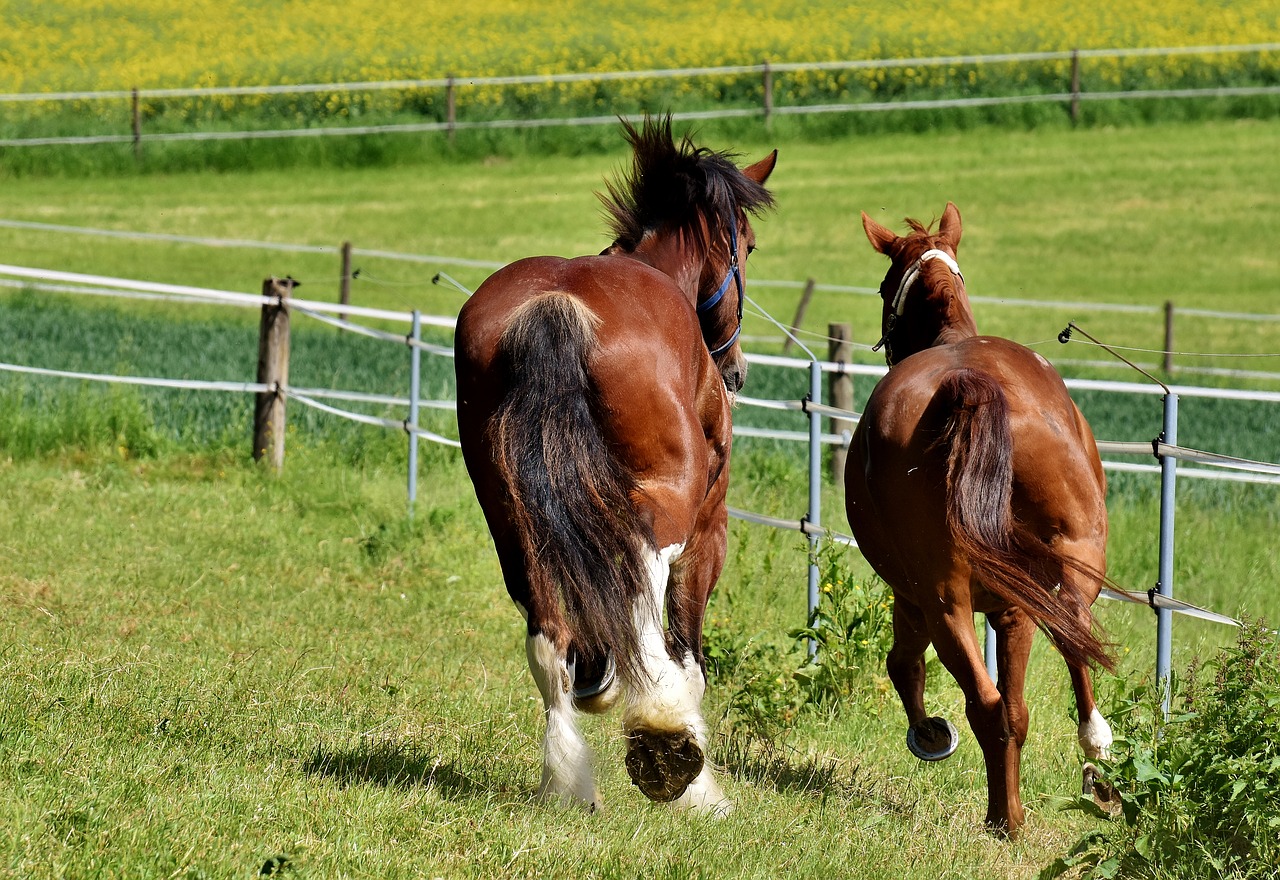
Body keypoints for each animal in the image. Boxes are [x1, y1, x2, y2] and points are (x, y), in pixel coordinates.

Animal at [455, 118, 773, 818]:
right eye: (748, 246)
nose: (735, 369)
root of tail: (554, 305)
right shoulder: (710, 527)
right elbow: (688, 650)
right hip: (666, 504)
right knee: (643, 587)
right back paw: (668, 750)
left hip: (511, 514)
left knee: (547, 637)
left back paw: (567, 779)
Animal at [849, 203, 1121, 833]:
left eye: (882, 287)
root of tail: (968, 384)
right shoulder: (1010, 604)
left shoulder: (911, 595)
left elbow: (903, 662)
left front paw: (928, 733)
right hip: (1069, 559)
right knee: (1059, 649)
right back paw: (1084, 767)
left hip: (944, 599)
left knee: (987, 701)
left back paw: (1007, 813)